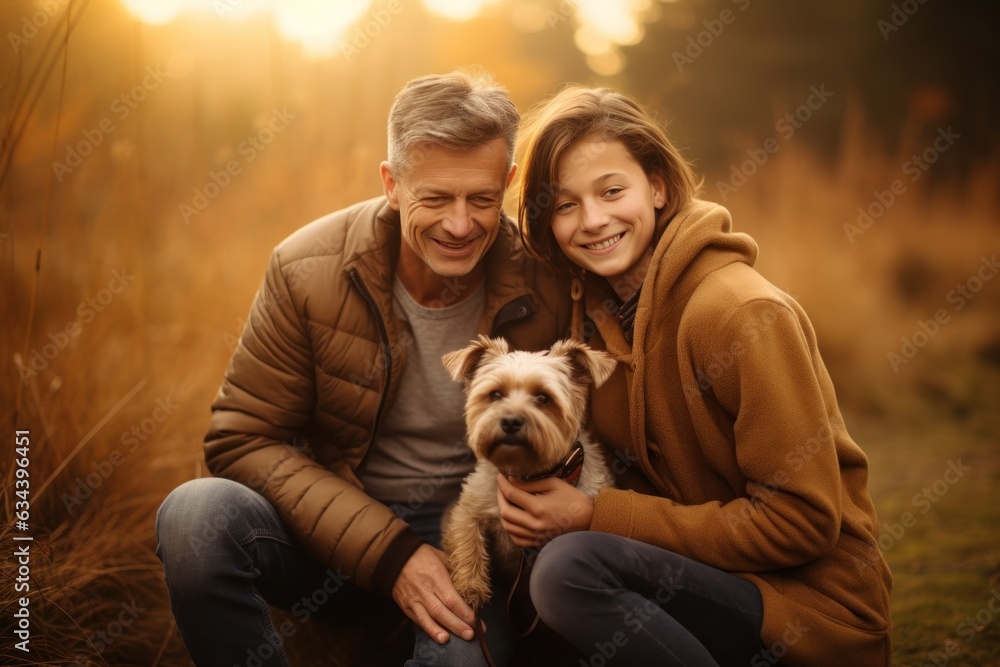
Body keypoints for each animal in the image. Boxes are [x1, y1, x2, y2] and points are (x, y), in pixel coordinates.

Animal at [440, 336, 612, 612]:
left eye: (543, 398)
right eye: (495, 394)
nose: (510, 421)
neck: (525, 472)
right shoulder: (466, 511)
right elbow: (467, 541)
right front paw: (470, 587)